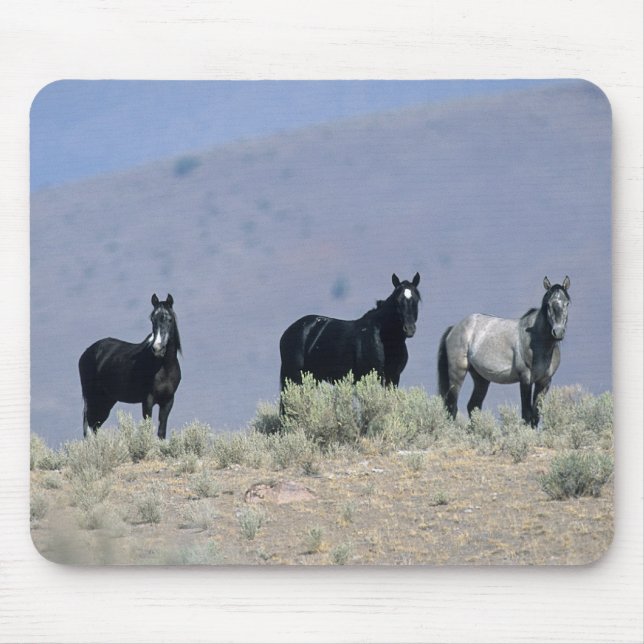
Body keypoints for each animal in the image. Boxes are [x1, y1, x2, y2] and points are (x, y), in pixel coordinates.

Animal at [78, 294, 182, 439]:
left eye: (169, 319)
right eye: (152, 320)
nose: (157, 348)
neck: (164, 367)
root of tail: (87, 352)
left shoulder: (168, 401)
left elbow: (161, 432)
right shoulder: (148, 400)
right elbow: (147, 428)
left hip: (106, 400)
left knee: (95, 425)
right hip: (93, 397)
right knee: (89, 426)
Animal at [279, 273, 421, 406]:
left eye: (416, 300)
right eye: (397, 301)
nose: (409, 329)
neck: (384, 339)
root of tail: (287, 332)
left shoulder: (393, 378)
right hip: (294, 377)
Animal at [438, 276, 570, 427]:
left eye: (566, 303)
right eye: (548, 304)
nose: (558, 332)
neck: (537, 341)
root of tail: (454, 327)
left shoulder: (544, 382)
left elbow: (535, 416)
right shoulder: (525, 379)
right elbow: (526, 415)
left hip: (481, 378)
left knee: (473, 406)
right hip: (457, 374)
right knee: (451, 407)